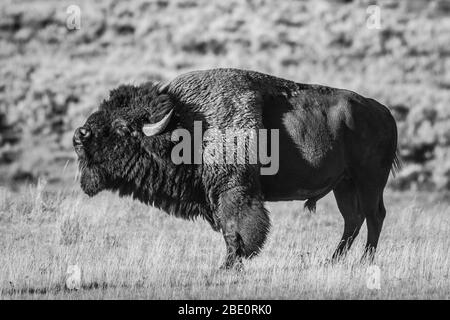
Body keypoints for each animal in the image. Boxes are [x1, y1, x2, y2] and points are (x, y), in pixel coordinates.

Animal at [74, 69, 400, 268]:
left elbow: (237, 228)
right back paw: (332, 260)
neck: (187, 123)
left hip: (369, 181)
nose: (79, 135)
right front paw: (230, 263)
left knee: (373, 216)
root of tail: (384, 112)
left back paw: (365, 262)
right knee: (353, 220)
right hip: (343, 186)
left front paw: (229, 265)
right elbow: (227, 229)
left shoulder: (233, 191)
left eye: (122, 127)